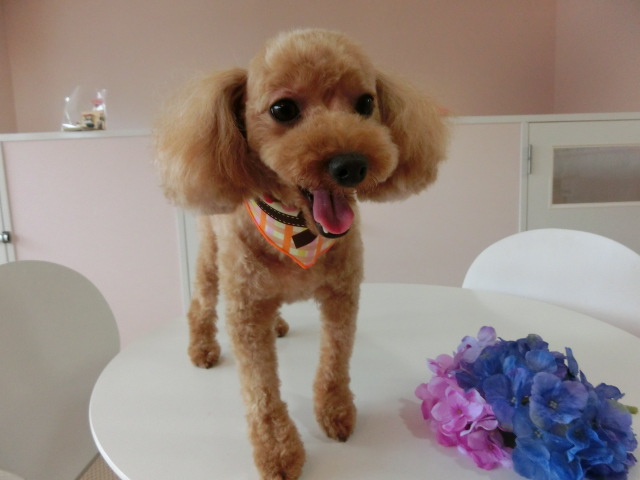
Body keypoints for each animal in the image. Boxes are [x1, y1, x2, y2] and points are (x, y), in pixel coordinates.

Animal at [155, 28, 448, 479]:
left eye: (366, 104)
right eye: (283, 109)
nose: (351, 165)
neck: (296, 228)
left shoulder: (342, 296)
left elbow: (335, 361)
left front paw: (336, 412)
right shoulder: (244, 311)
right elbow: (261, 390)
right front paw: (278, 452)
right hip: (210, 256)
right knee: (200, 303)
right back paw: (202, 349)